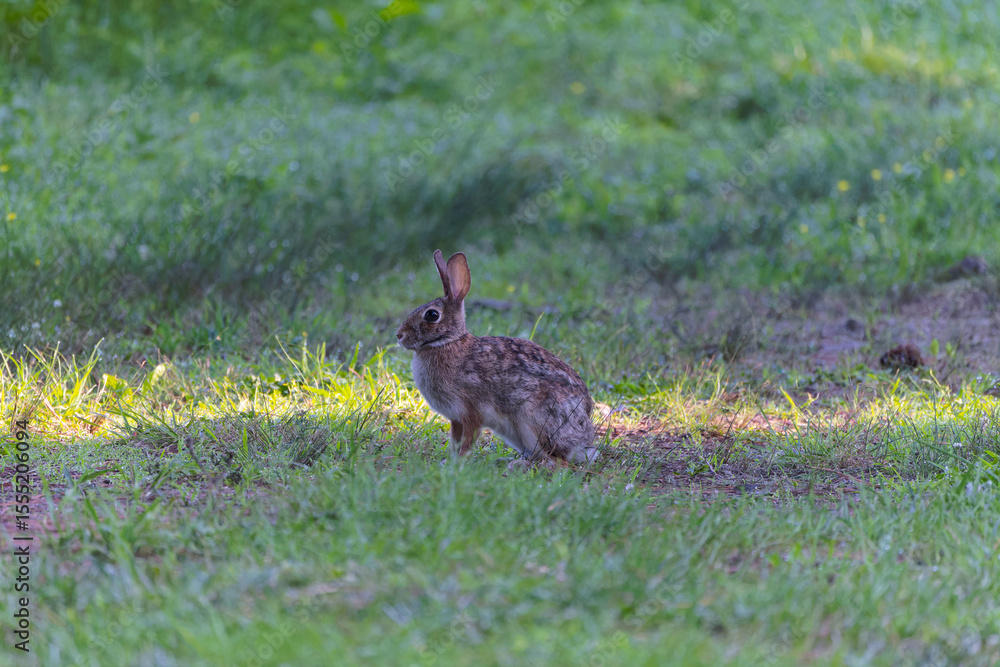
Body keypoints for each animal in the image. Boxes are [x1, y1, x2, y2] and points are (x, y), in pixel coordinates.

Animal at [395, 249, 599, 464]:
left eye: (432, 315)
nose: (399, 335)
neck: (447, 342)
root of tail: (584, 443)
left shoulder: (471, 411)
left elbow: (467, 440)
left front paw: (458, 463)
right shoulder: (456, 418)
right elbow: (455, 440)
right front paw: (449, 461)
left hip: (535, 421)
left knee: (555, 460)